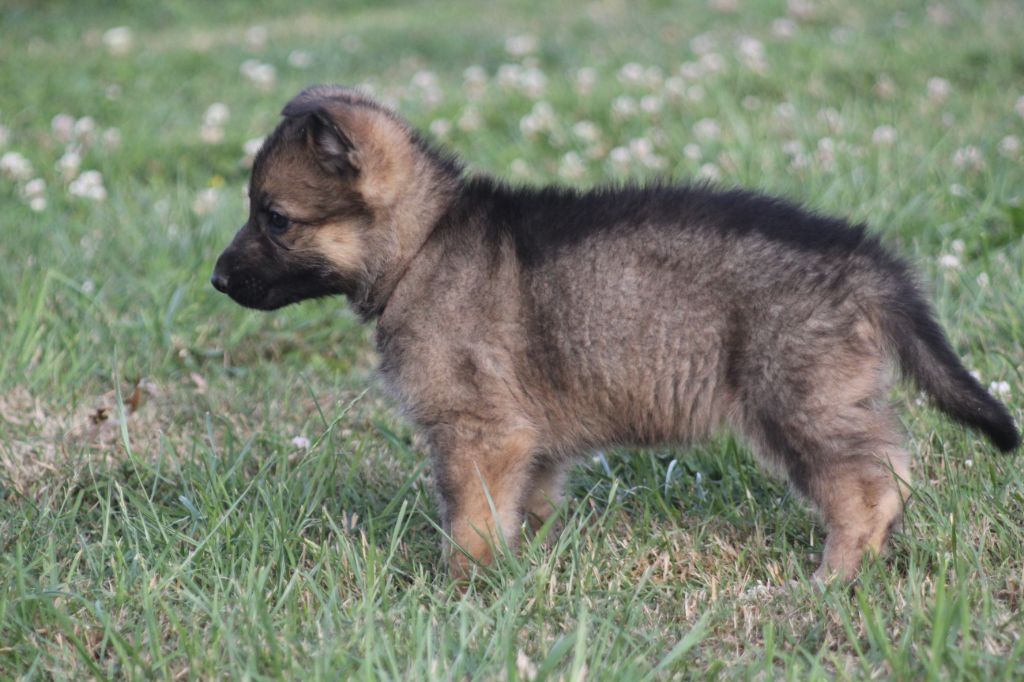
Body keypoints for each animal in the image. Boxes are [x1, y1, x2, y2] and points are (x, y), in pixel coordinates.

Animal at [211, 84, 1019, 577]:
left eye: (274, 218)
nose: (215, 282)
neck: (422, 242)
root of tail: (864, 257)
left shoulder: (477, 429)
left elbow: (469, 517)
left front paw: (462, 587)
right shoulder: (523, 438)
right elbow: (524, 505)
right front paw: (525, 565)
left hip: (795, 399)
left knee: (867, 482)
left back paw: (837, 571)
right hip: (826, 395)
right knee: (889, 464)